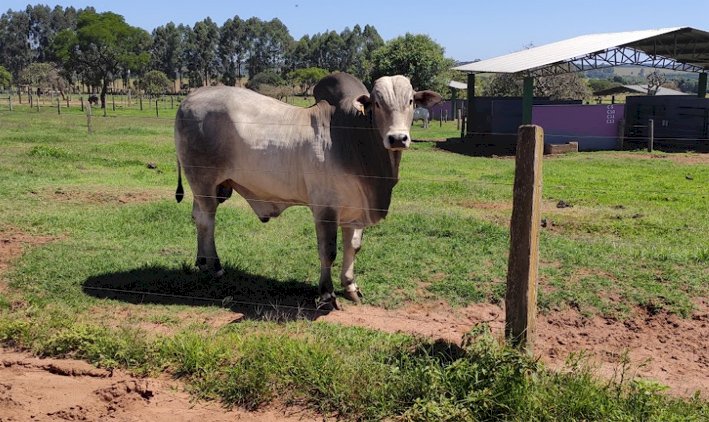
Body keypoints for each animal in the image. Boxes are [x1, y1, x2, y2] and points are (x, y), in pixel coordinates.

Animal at [174, 72, 440, 310]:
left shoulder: (355, 209)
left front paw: (350, 286)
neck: (353, 137)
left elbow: (353, 247)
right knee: (208, 222)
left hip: (209, 188)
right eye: (377, 103)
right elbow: (328, 252)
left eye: (411, 101)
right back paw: (215, 266)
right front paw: (327, 294)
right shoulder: (325, 209)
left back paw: (202, 262)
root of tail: (189, 99)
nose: (397, 138)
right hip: (203, 182)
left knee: (198, 218)